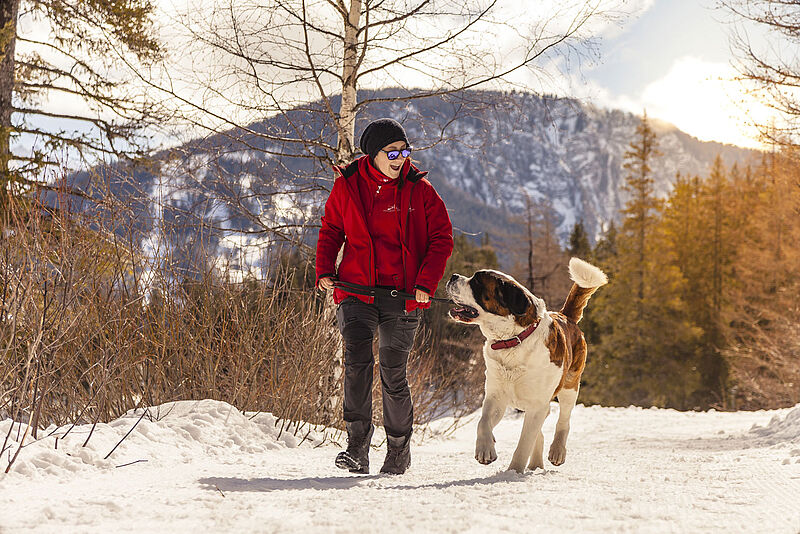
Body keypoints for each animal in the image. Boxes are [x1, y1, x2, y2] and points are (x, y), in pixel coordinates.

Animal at [446, 260, 608, 474]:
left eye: (477, 282)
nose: (453, 276)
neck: (513, 340)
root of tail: (566, 316)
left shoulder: (538, 404)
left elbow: (524, 444)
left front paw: (513, 471)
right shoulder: (496, 396)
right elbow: (483, 422)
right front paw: (485, 450)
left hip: (570, 386)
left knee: (563, 420)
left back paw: (557, 451)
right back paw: (535, 464)